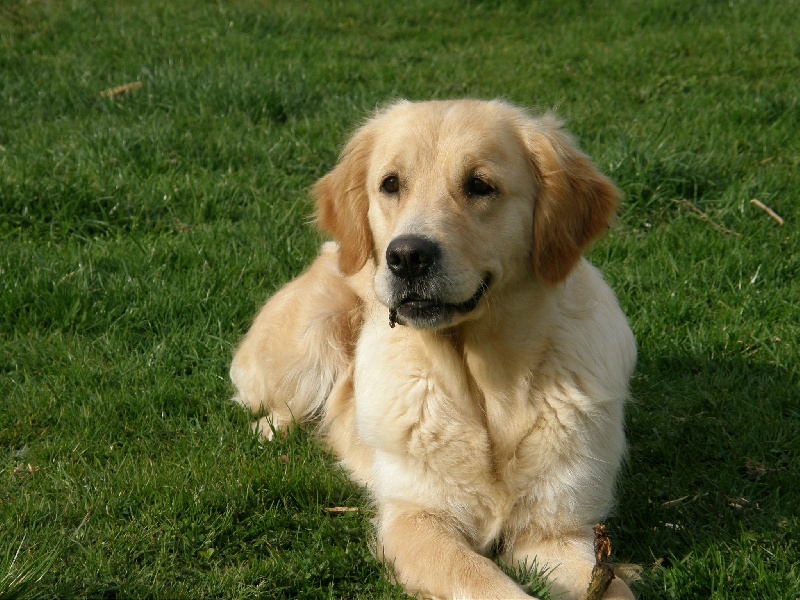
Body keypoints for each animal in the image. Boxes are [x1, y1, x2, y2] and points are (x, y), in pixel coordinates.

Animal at [230, 99, 637, 599]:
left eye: (480, 185)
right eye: (390, 184)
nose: (406, 256)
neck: (488, 383)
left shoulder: (556, 531)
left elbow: (614, 586)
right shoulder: (417, 520)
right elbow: (487, 583)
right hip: (310, 341)